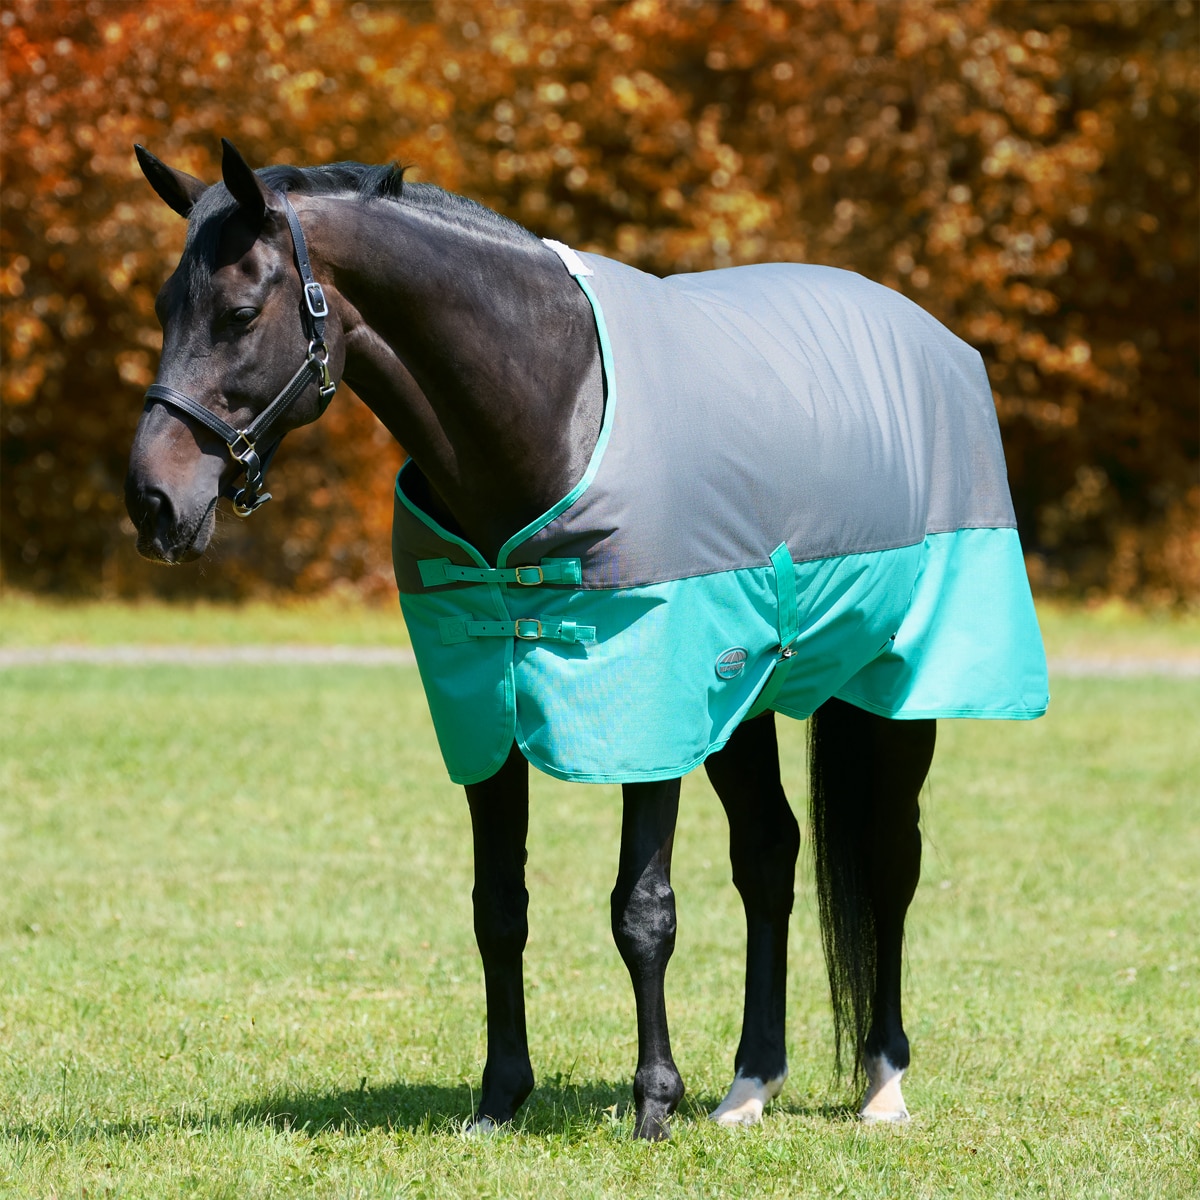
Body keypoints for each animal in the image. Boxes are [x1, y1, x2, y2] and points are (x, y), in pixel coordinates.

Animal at [125, 139, 1048, 1140]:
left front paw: (652, 1104)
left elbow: (642, 911)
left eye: (240, 312)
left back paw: (882, 1081)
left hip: (896, 689)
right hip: (739, 698)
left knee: (888, 860)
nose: (153, 502)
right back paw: (749, 1084)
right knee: (769, 856)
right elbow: (499, 908)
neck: (553, 408)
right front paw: (499, 1099)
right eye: (165, 307)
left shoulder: (645, 706)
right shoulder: (486, 705)